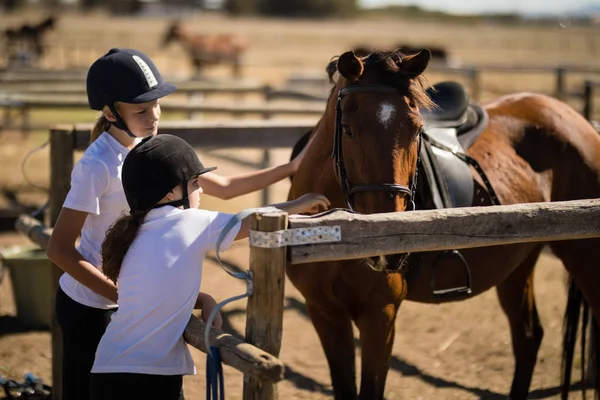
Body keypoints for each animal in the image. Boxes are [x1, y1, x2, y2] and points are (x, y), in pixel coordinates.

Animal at [286, 50, 600, 400]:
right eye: (348, 130)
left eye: (416, 131)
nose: (387, 244)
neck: (336, 234)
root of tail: (577, 120)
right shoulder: (324, 312)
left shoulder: (380, 314)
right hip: (518, 265)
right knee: (528, 338)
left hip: (585, 257)